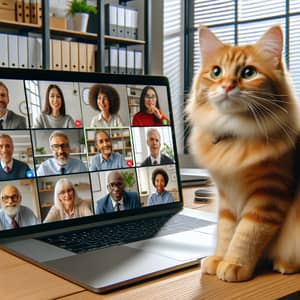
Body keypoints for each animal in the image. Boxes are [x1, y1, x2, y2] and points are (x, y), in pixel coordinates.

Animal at [186, 25, 300, 282]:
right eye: (216, 72)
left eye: (248, 72)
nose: (227, 86)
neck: (235, 136)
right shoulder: (226, 196)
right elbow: (226, 232)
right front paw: (218, 259)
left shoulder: (268, 195)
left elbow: (246, 235)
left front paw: (234, 265)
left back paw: (285, 265)